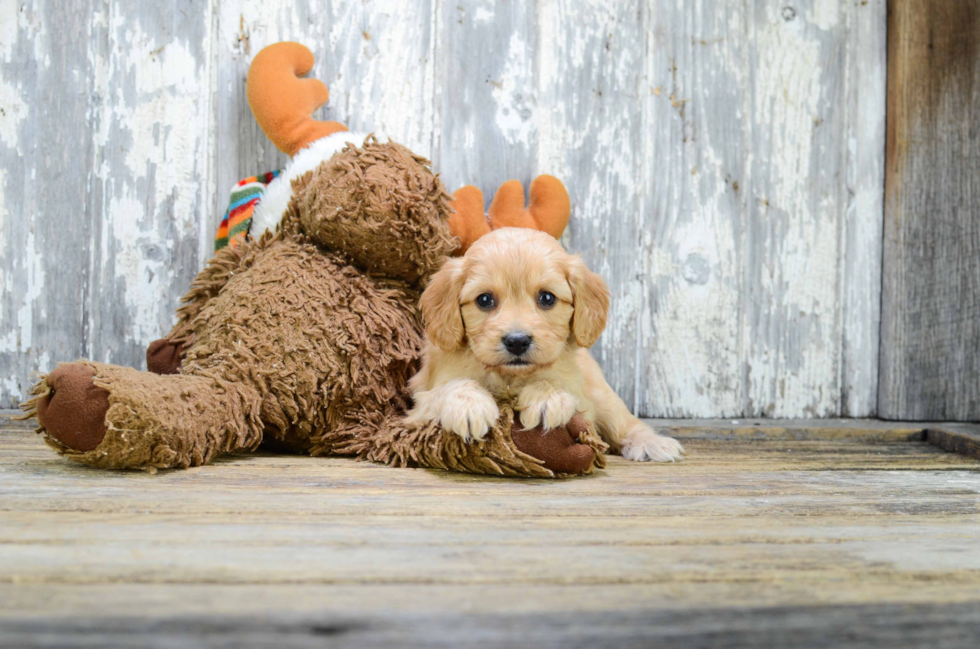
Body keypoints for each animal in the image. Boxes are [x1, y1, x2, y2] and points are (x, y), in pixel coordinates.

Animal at [410, 228, 684, 460]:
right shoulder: (422, 399)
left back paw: (651, 442)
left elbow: (555, 383)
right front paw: (468, 405)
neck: (510, 378)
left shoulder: (578, 392)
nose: (517, 341)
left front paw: (546, 399)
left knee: (624, 422)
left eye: (547, 298)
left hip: (602, 394)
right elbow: (449, 387)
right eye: (484, 300)